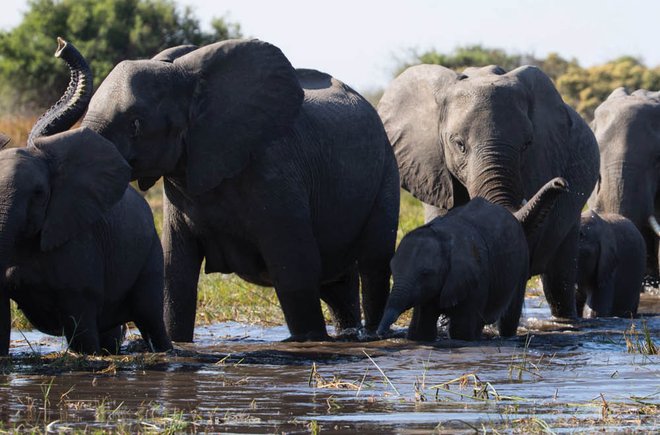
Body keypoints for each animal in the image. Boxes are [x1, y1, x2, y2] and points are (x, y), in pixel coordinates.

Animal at [0, 38, 171, 355]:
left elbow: (79, 317)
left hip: (150, 251)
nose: (60, 45)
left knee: (150, 316)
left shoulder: (79, 243)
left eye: (40, 193)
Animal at [80, 39, 400, 342]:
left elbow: (295, 268)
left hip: (386, 170)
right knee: (336, 283)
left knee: (373, 263)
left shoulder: (276, 170)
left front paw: (309, 341)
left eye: (135, 124)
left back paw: (373, 335)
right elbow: (176, 273)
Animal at [377, 177, 568, 341]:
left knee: (508, 316)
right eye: (392, 271)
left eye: (425, 274)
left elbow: (461, 330)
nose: (562, 184)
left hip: (520, 265)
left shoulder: (476, 278)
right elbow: (420, 329)